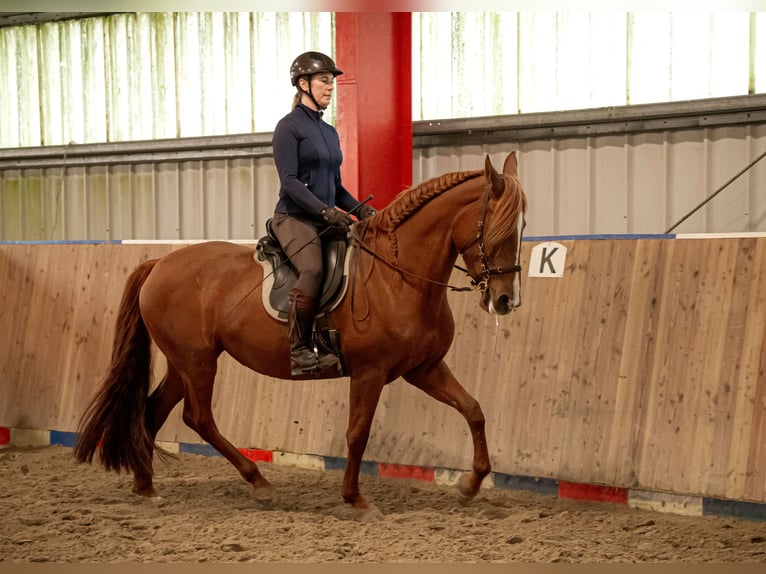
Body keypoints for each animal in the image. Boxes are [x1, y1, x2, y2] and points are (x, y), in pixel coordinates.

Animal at [74, 151, 528, 520]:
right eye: (498, 228)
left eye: (522, 227)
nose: (506, 300)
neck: (399, 277)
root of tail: (160, 263)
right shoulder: (370, 372)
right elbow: (357, 433)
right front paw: (356, 500)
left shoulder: (424, 368)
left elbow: (473, 410)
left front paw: (469, 485)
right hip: (197, 361)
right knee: (197, 417)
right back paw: (258, 482)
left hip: (182, 362)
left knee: (153, 412)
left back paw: (146, 487)